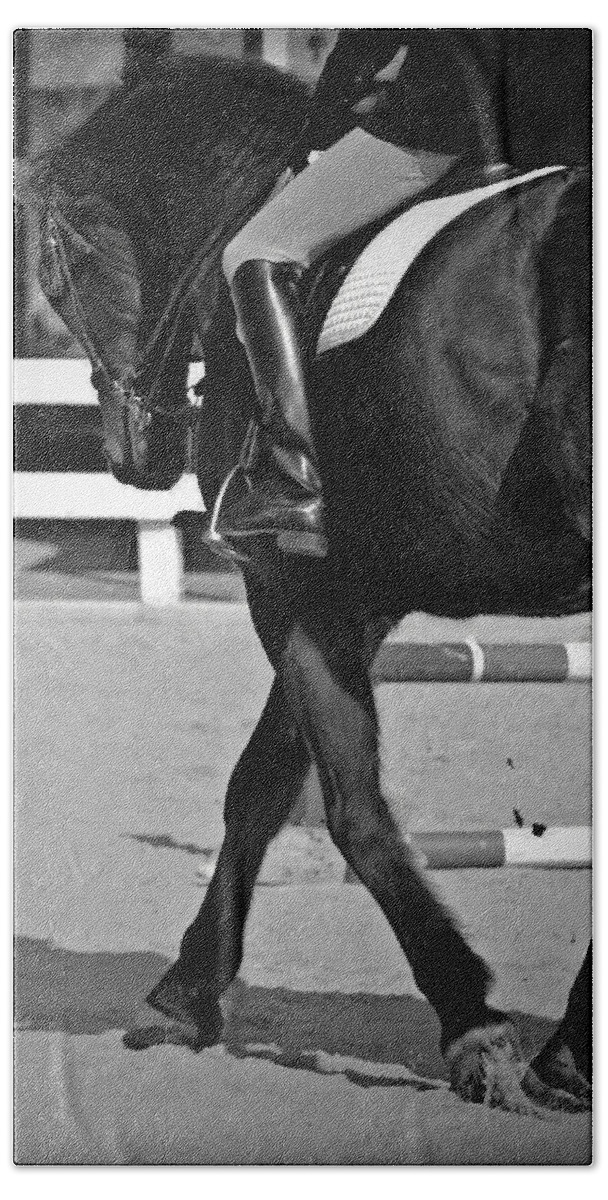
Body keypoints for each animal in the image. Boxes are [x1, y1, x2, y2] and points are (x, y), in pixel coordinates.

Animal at [23, 49, 590, 1113]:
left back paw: (562, 1052)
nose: (132, 459)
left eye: (58, 279)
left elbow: (347, 809)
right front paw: (183, 995)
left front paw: (475, 1026)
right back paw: (572, 1053)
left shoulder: (292, 590)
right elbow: (259, 784)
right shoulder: (353, 597)